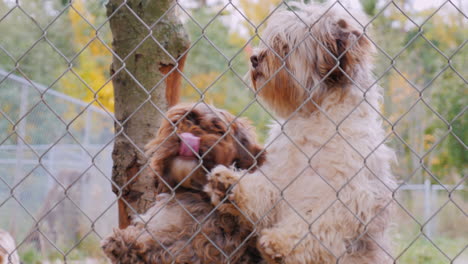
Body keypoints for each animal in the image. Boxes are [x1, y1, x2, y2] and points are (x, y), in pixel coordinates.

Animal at [205, 2, 394, 264]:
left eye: (286, 46)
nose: (254, 58)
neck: (312, 117)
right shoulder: (281, 176)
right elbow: (263, 191)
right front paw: (230, 183)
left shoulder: (346, 194)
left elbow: (315, 222)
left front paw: (282, 243)